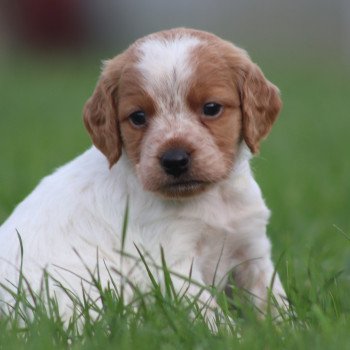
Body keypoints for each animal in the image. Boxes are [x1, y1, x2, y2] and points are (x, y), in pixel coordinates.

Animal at [0, 28, 288, 326]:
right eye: (138, 116)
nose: (174, 160)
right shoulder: (173, 264)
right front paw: (232, 333)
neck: (211, 199)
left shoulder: (251, 247)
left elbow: (272, 297)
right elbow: (212, 317)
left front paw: (286, 328)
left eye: (211, 108)